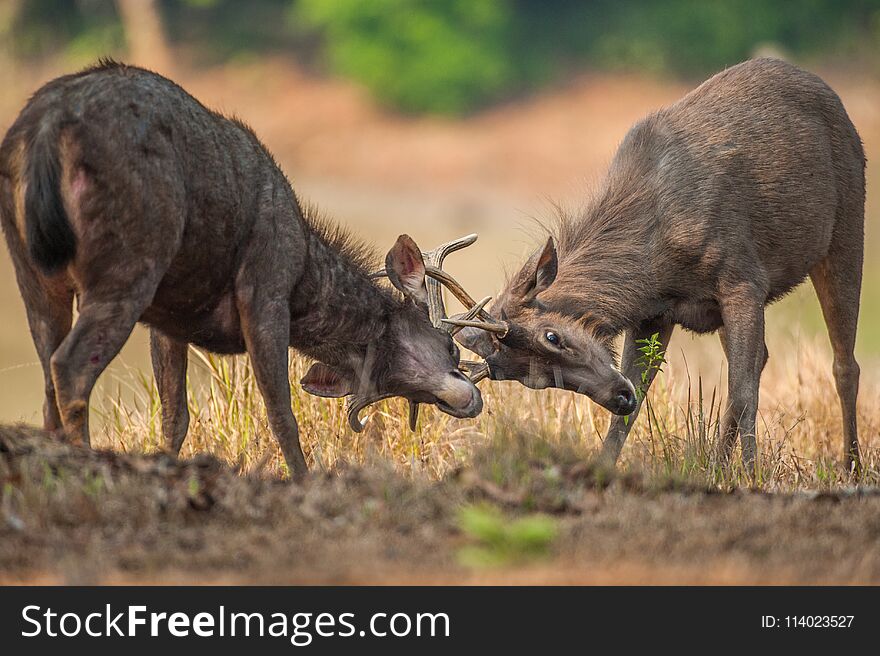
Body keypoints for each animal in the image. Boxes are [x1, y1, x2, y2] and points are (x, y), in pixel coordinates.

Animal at [0, 60, 488, 476]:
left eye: (396, 390)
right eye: (450, 347)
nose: (471, 400)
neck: (305, 278)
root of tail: (44, 130)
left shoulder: (170, 316)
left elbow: (174, 414)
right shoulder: (265, 289)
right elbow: (281, 412)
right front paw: (301, 478)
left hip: (34, 273)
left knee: (48, 377)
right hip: (131, 258)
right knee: (70, 366)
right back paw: (82, 462)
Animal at [454, 59, 868, 474]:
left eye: (552, 336)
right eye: (534, 380)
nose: (618, 395)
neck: (653, 261)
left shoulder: (743, 278)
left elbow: (743, 392)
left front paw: (752, 473)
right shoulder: (653, 314)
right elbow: (640, 406)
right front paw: (606, 466)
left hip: (847, 225)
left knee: (843, 364)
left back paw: (852, 464)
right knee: (763, 357)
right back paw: (719, 464)